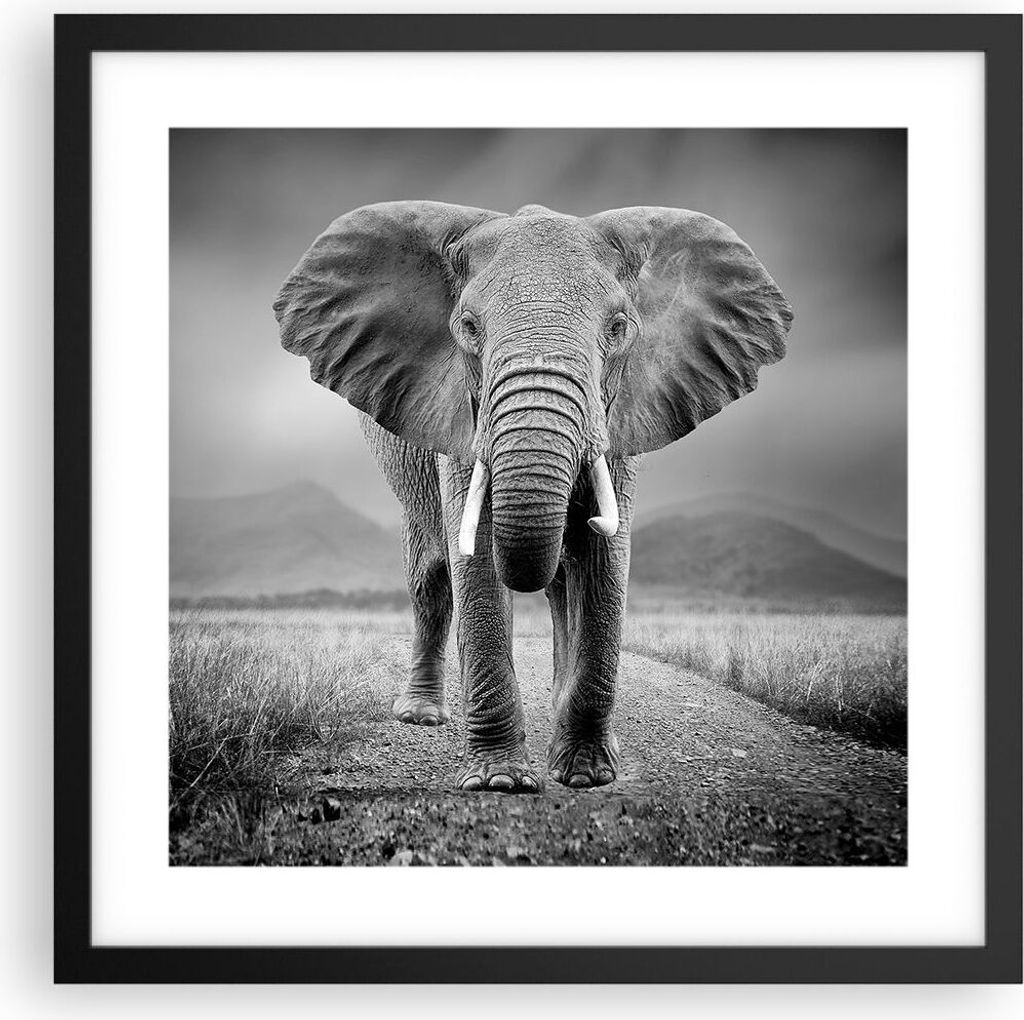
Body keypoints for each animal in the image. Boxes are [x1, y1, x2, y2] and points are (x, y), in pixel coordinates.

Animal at [274, 201, 792, 793]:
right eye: (468, 328)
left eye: (618, 329)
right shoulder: (463, 417)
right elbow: (473, 562)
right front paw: (500, 782)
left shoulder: (619, 416)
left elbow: (605, 562)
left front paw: (587, 774)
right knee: (431, 577)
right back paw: (421, 716)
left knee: (563, 584)